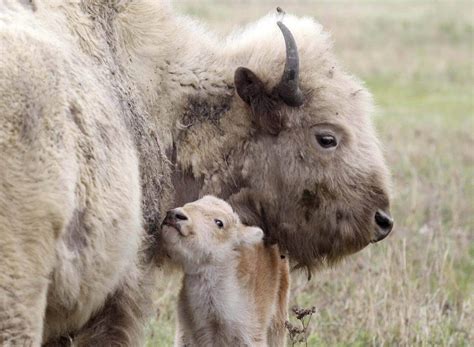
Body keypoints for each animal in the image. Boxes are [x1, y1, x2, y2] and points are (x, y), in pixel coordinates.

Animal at [161, 197, 290, 347]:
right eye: (187, 204)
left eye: (219, 222)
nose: (176, 215)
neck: (214, 318)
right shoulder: (186, 333)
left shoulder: (250, 333)